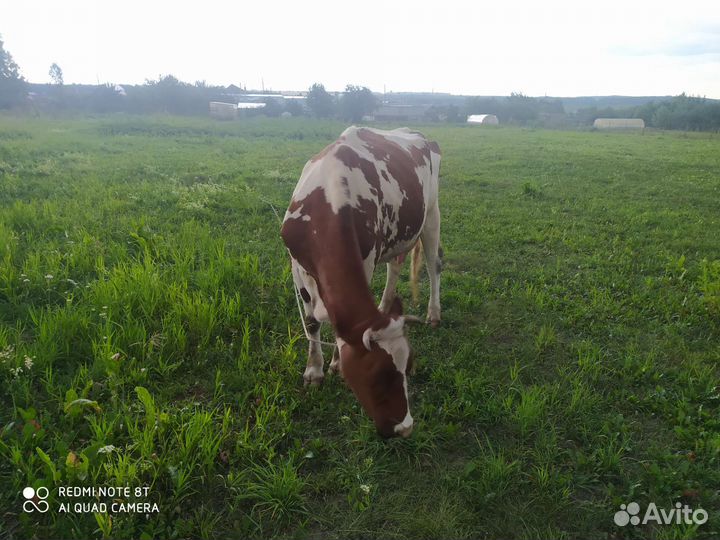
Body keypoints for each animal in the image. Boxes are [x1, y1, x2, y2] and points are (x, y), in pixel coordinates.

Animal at [280, 126, 442, 438]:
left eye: (409, 367)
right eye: (380, 376)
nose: (405, 428)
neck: (329, 201)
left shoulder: (365, 260)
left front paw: (334, 364)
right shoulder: (297, 265)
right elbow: (312, 322)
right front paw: (314, 371)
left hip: (431, 214)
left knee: (433, 265)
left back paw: (433, 313)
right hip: (396, 236)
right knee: (395, 266)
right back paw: (386, 305)